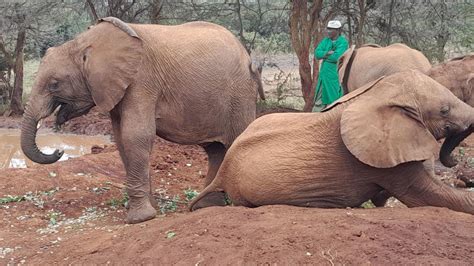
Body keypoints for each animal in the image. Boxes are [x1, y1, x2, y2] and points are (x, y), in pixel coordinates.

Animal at [20, 17, 264, 224]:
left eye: (54, 84)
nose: (59, 151)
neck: (84, 43)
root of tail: (247, 55)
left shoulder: (141, 80)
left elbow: (136, 135)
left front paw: (139, 218)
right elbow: (121, 139)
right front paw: (150, 210)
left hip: (240, 93)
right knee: (214, 150)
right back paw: (208, 207)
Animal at [192, 71, 474, 216]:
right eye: (445, 111)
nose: (455, 162)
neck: (375, 94)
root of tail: (223, 172)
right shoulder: (386, 162)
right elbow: (430, 195)